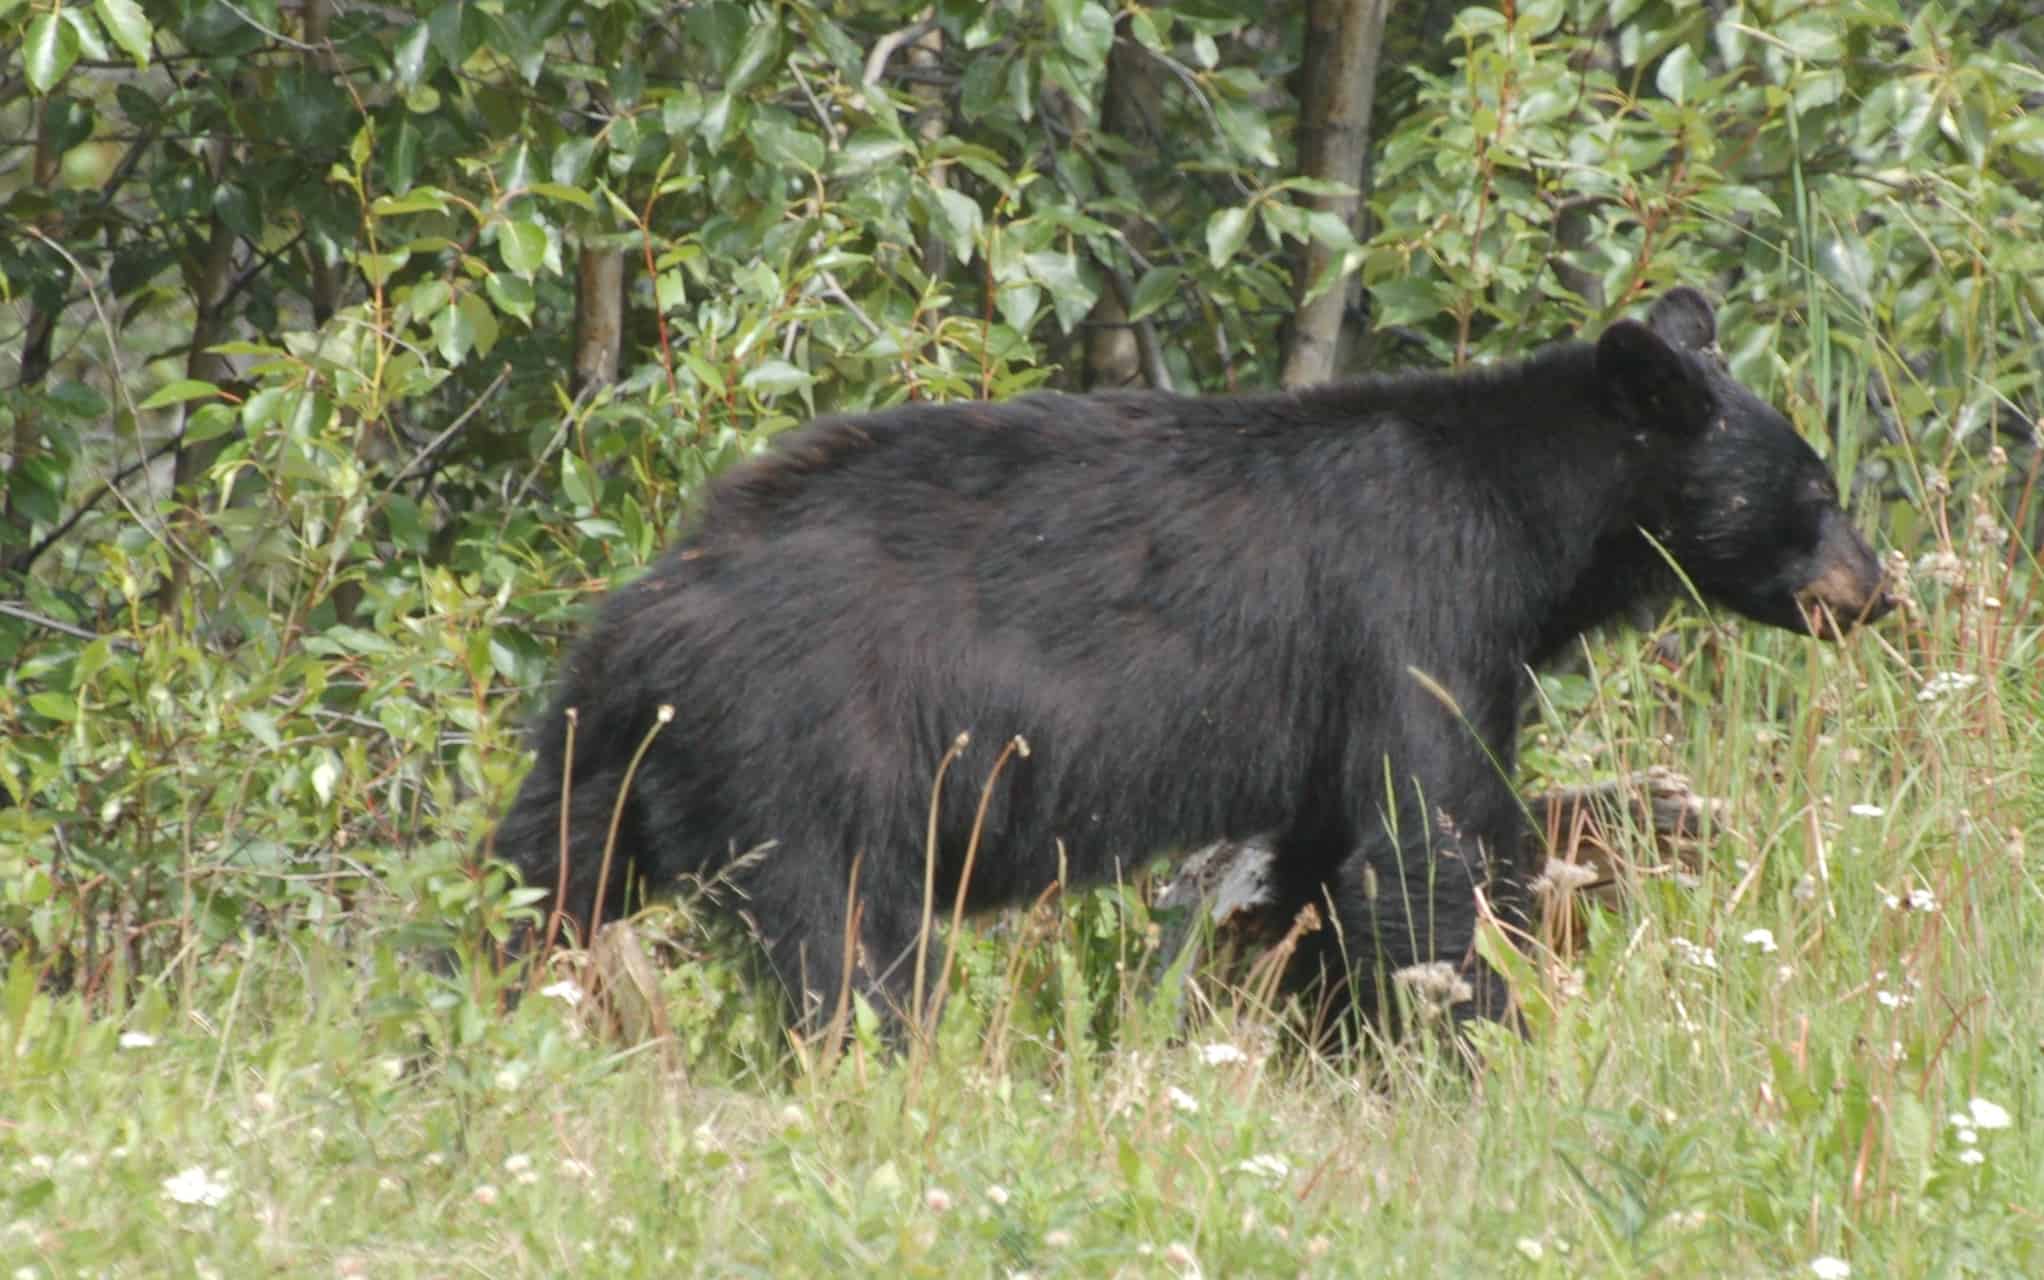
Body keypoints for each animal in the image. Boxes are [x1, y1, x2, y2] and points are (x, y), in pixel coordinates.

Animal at [487, 287, 1892, 1042]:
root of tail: (662, 600)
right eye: (1817, 489)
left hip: (602, 747)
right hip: (813, 752)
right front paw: (1484, 1045)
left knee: (532, 881)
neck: (1530, 523)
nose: (1876, 589)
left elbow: (1325, 869)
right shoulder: (1413, 605)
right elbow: (1429, 844)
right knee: (851, 941)